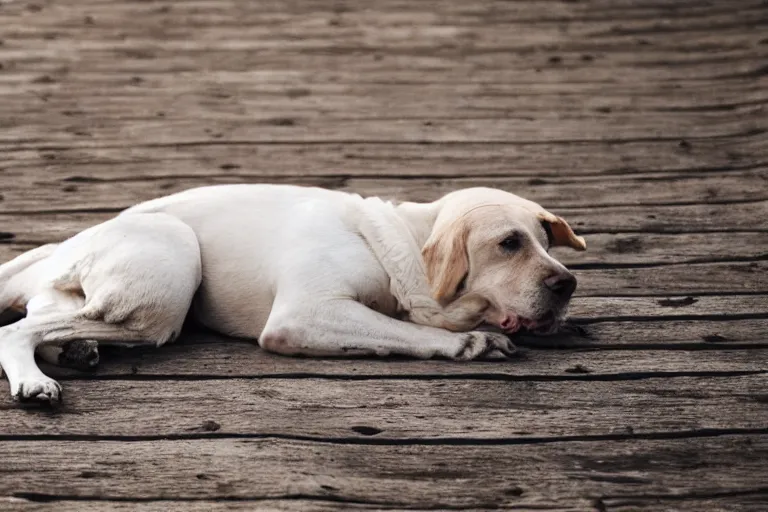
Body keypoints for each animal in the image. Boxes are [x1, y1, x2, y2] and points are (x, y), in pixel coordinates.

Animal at [0, 185, 584, 404]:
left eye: (545, 236)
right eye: (509, 243)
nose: (567, 283)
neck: (393, 242)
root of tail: (69, 240)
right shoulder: (304, 314)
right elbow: (402, 331)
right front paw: (471, 344)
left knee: (51, 319)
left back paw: (77, 350)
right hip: (169, 272)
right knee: (19, 330)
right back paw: (35, 380)